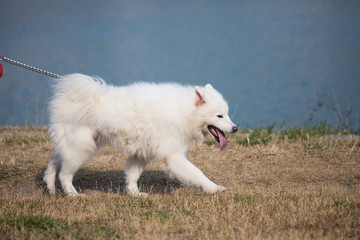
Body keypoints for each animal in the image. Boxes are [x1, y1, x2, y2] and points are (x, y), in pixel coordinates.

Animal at [43, 73, 238, 197]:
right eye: (219, 116)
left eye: (227, 114)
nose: (235, 128)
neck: (183, 112)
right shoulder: (172, 156)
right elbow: (197, 173)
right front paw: (213, 188)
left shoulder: (140, 153)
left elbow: (132, 176)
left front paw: (135, 194)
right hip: (82, 149)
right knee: (65, 174)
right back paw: (73, 195)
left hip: (80, 146)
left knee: (54, 159)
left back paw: (50, 187)